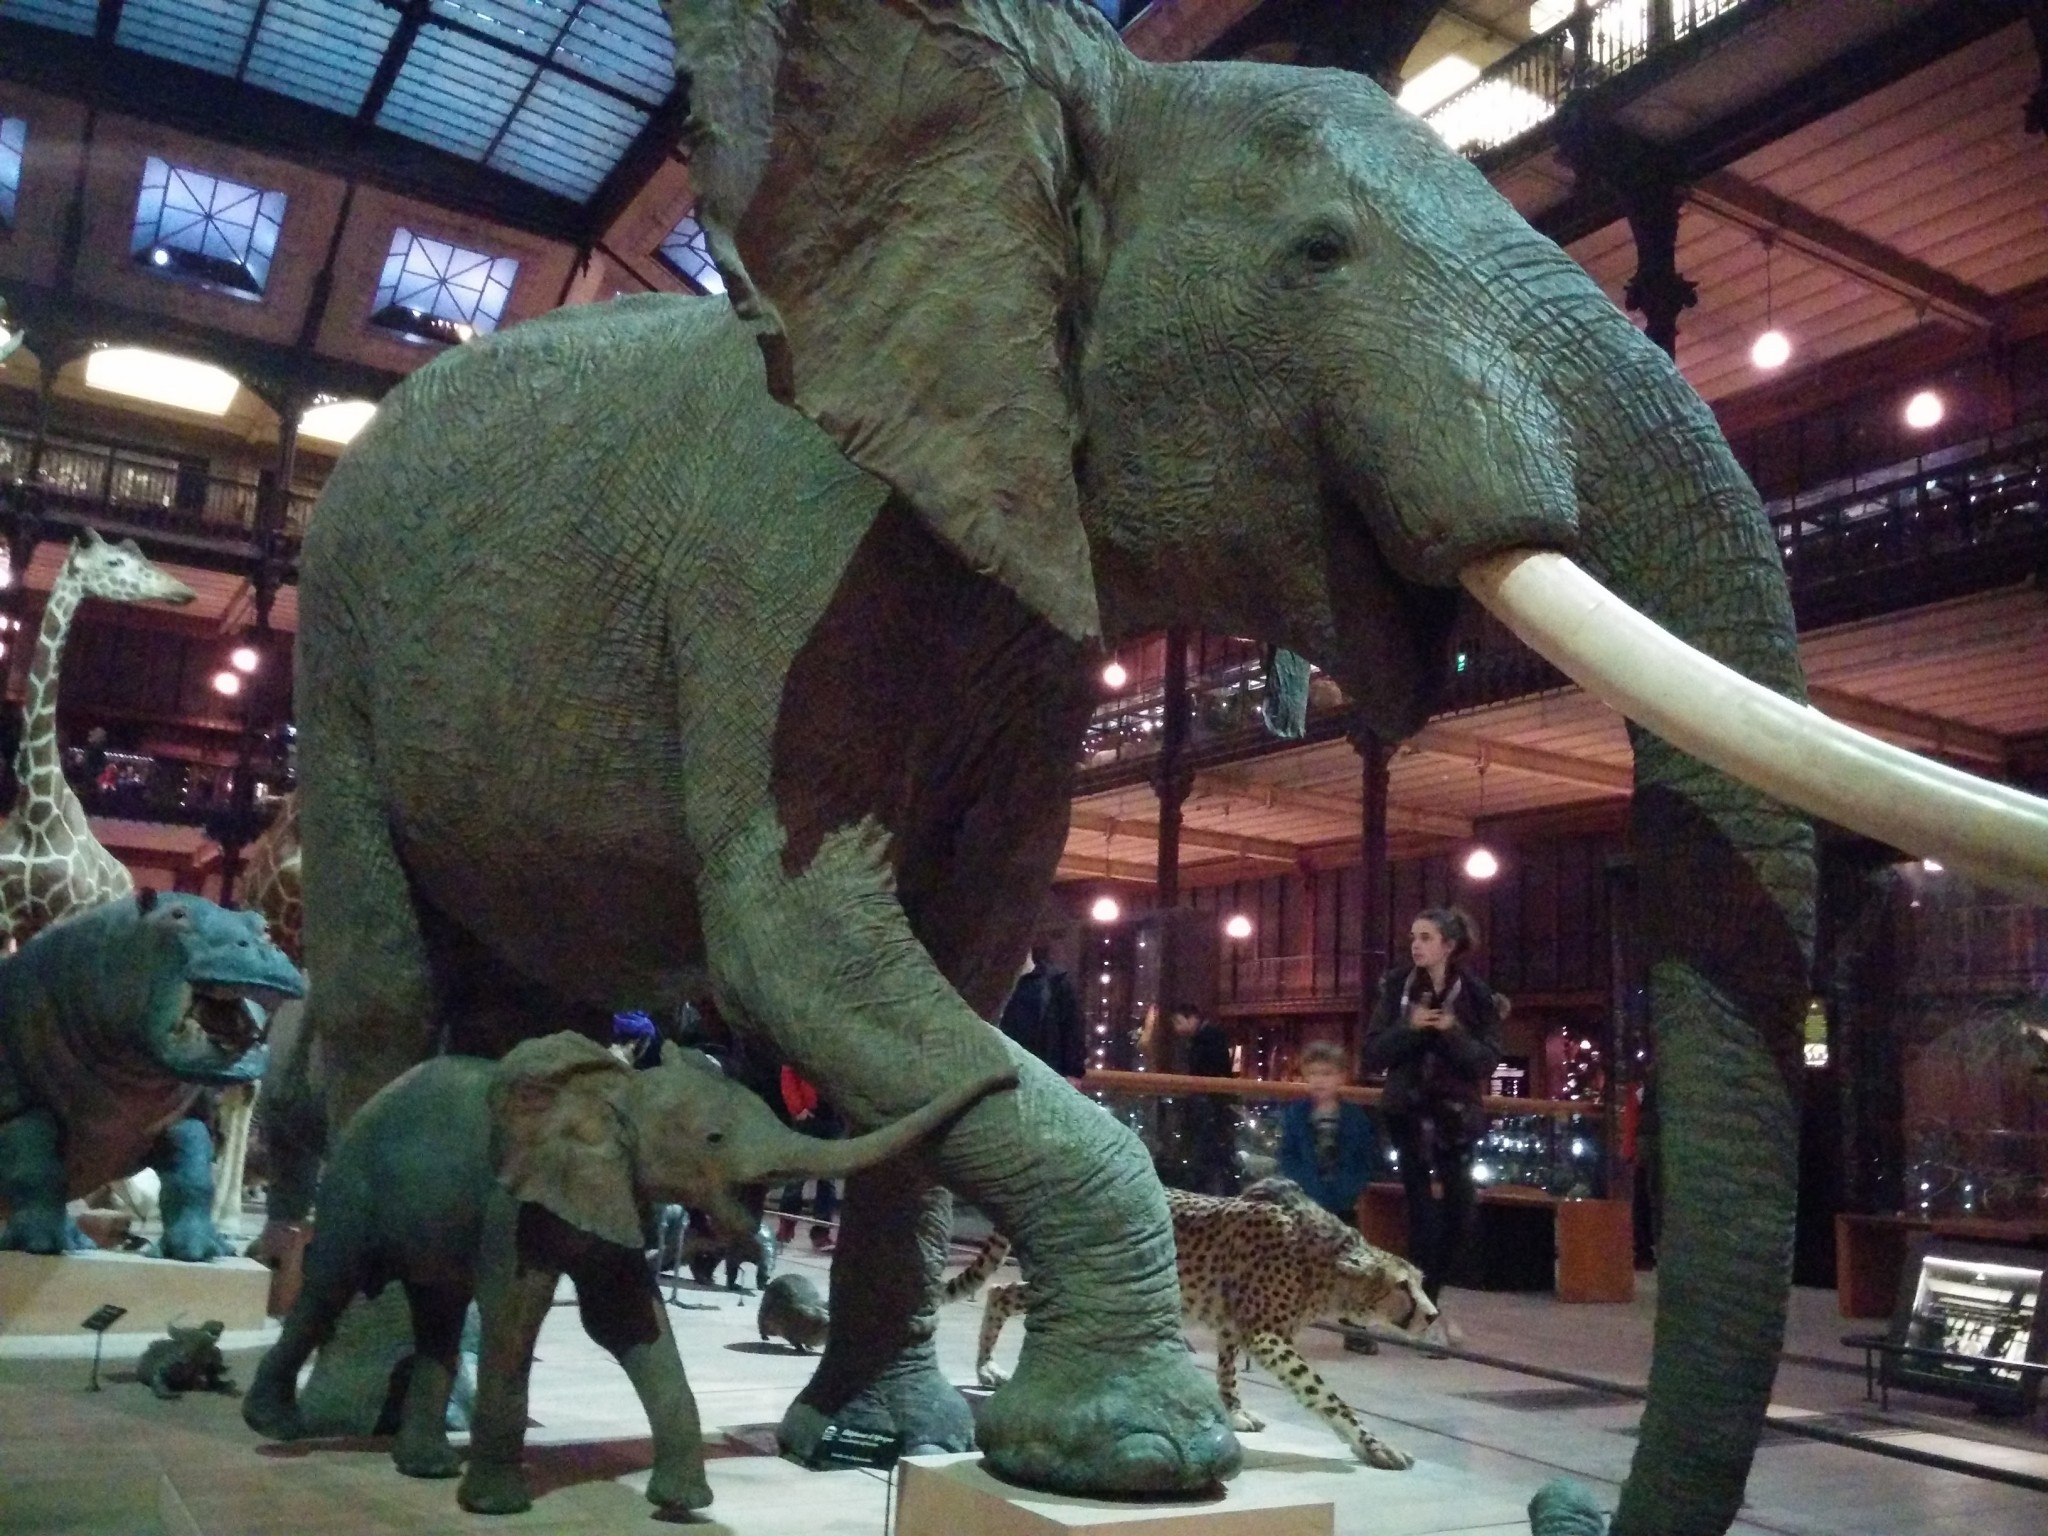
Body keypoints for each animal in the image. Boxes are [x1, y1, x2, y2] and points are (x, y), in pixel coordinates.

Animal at [243, 1036, 1011, 1515]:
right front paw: (496, 1508)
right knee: (331, 1283)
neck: (619, 1094)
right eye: (714, 1138)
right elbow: (516, 1310)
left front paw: (684, 1505)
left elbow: (627, 1321)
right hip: (353, 1180)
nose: (1006, 1075)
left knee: (439, 1310)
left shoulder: (616, 1195)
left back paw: (425, 1467)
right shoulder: (514, 1199)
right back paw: (274, 1425)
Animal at [937, 1187, 1433, 1474]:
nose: (1430, 1314)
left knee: (1000, 1290)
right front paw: (1374, 1446)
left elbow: (1228, 1373)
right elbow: (1326, 1396)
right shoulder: (1267, 1334)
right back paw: (988, 1367)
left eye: (1421, 1282)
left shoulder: (1235, 1326)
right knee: (1002, 1292)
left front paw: (1234, 1412)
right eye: (1402, 1286)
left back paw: (988, 1368)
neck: (1330, 1268)